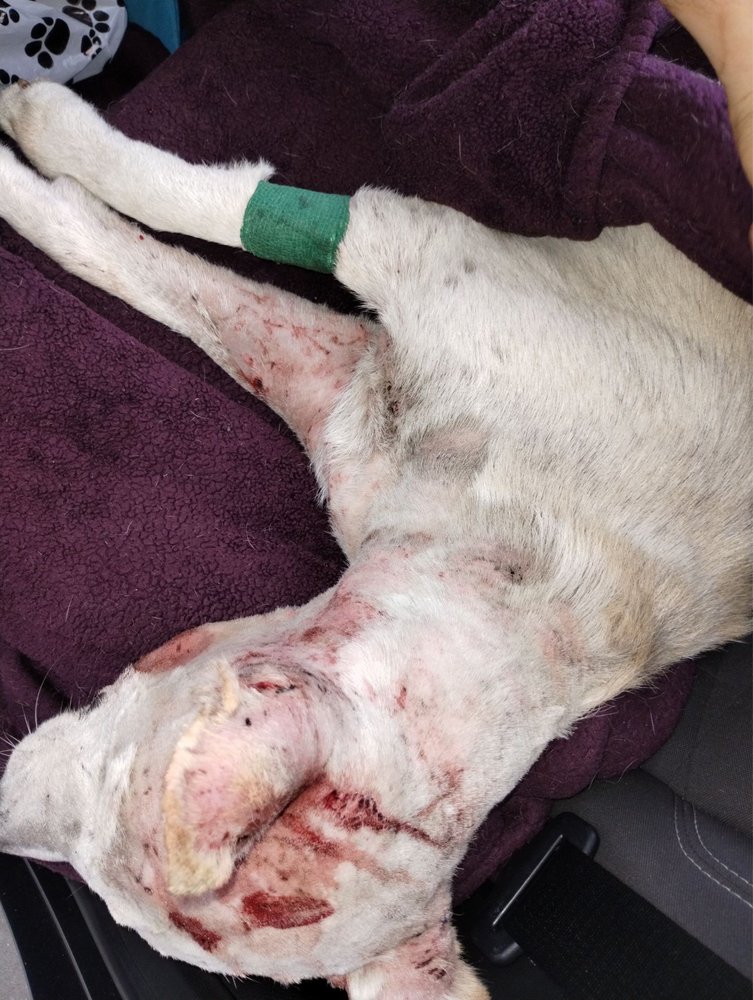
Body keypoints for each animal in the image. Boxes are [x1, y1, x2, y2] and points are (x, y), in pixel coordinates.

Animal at [0, 80, 750, 1000]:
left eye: (107, 883)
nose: (0, 814)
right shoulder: (390, 291)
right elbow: (154, 235)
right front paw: (41, 141)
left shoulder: (409, 267)